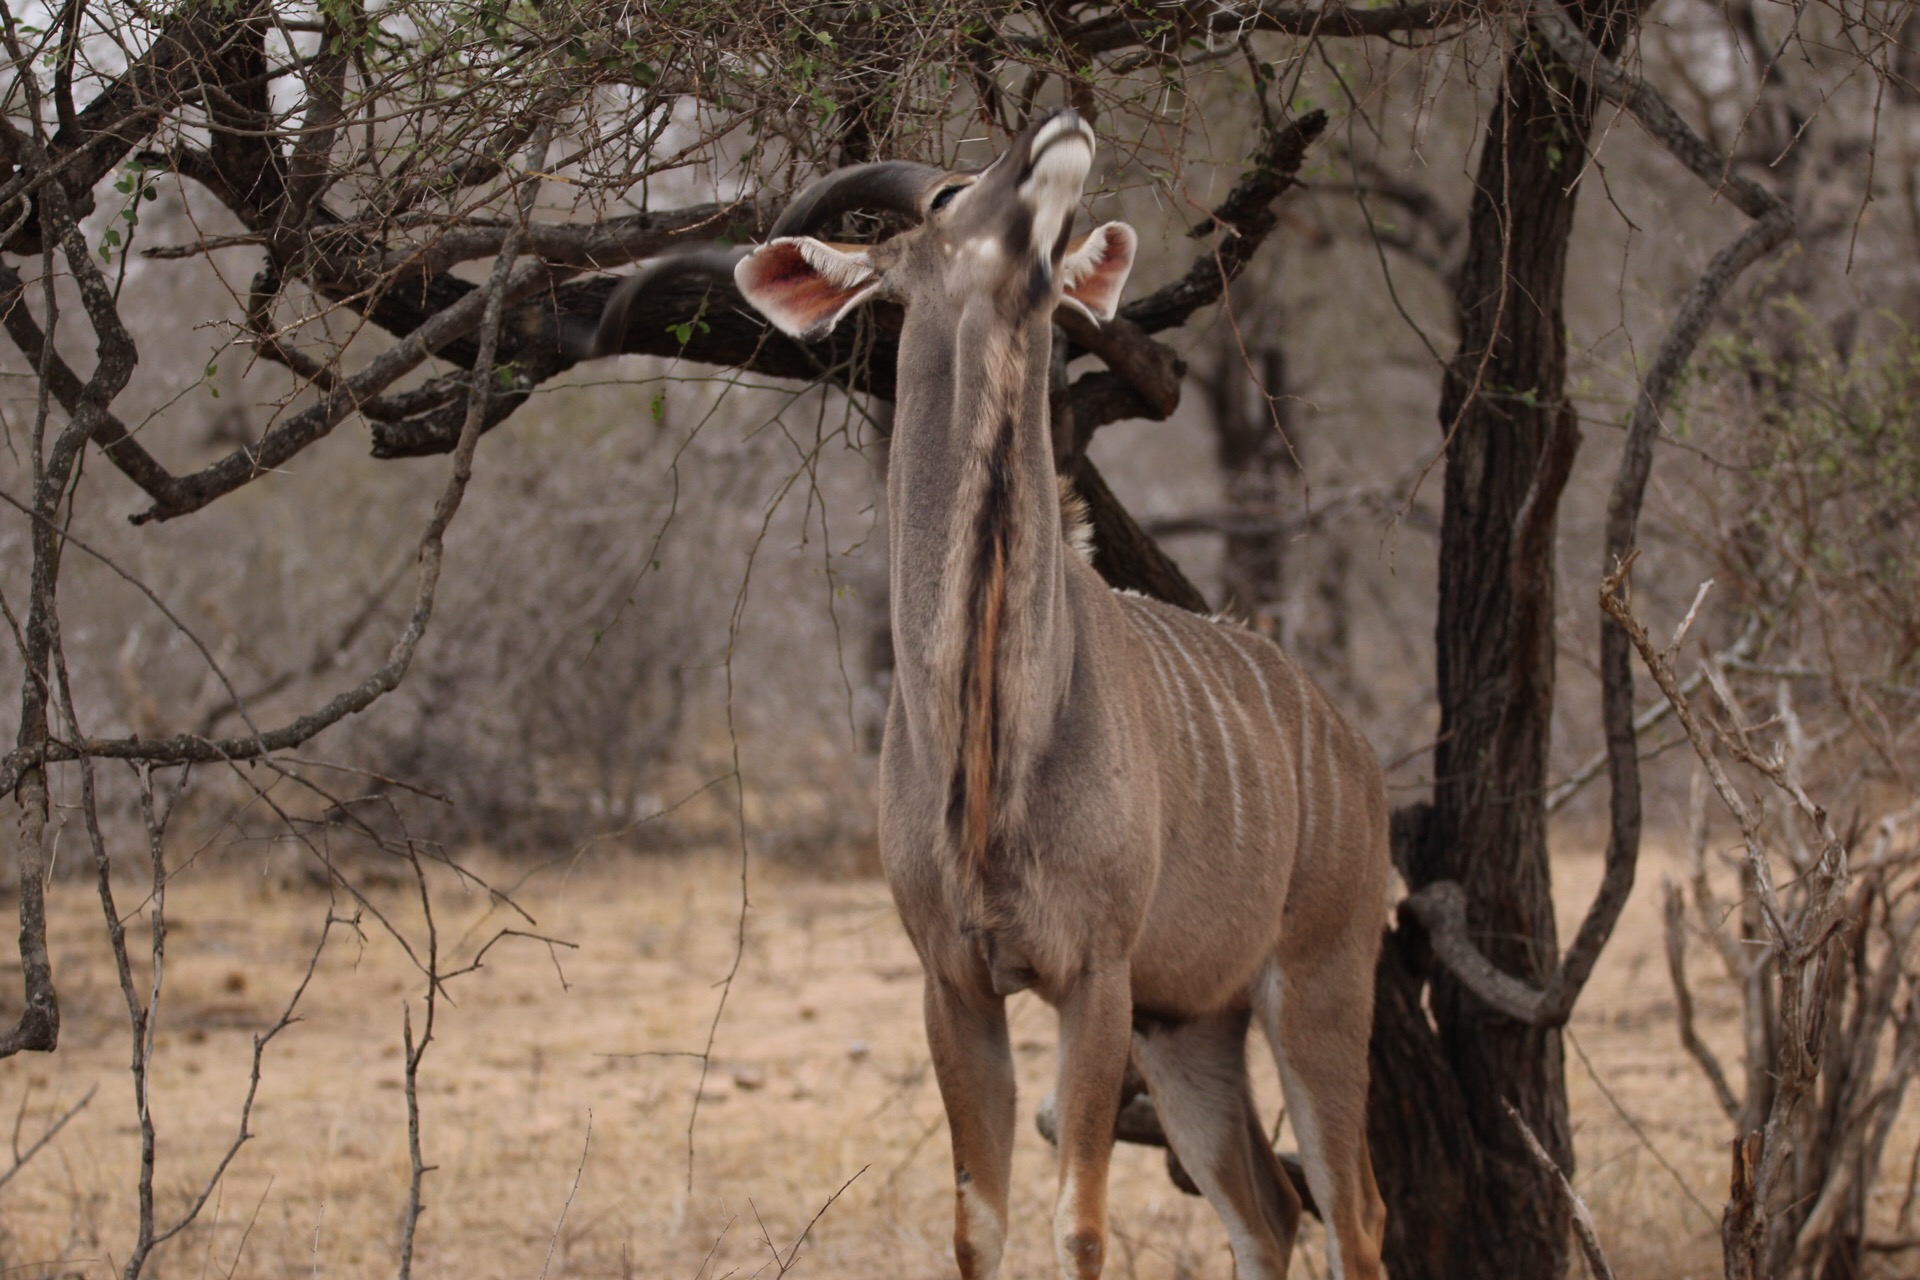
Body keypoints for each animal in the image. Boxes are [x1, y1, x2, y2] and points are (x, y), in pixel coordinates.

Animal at [591, 110, 1390, 1280]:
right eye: (944, 197)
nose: (1059, 124)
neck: (988, 733)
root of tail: (1349, 743)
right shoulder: (956, 982)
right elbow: (981, 1221)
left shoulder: (1092, 975)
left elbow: (1080, 1223)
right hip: (1191, 1022)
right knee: (1268, 1207)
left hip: (1317, 983)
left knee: (1352, 1213)